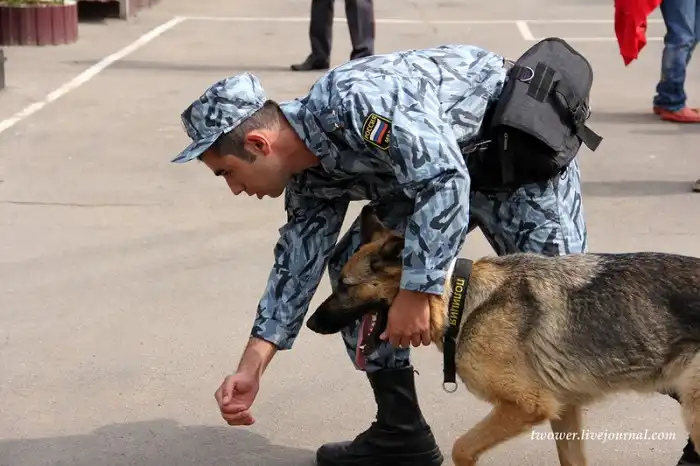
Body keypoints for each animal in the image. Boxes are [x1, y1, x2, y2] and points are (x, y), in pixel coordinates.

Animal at [305, 205, 700, 466]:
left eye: (344, 285)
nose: (310, 324)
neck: (460, 300)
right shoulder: (564, 411)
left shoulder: (527, 406)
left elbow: (462, 447)